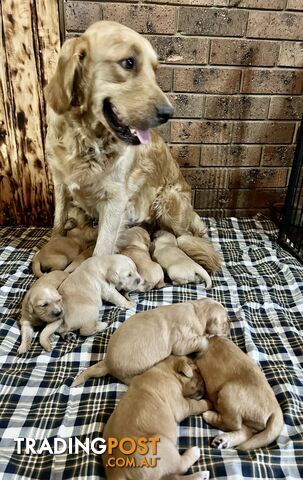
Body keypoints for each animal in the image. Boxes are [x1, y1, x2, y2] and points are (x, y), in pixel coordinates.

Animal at [45, 20, 221, 274]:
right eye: (129, 62)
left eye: (155, 69)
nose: (168, 113)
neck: (86, 138)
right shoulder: (60, 184)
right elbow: (58, 223)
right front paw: (53, 243)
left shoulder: (115, 201)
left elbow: (100, 250)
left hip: (168, 199)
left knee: (188, 235)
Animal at [72, 296, 229, 386]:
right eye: (225, 322)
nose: (230, 325)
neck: (196, 311)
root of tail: (107, 363)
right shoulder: (182, 342)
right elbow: (201, 342)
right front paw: (205, 342)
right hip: (133, 373)